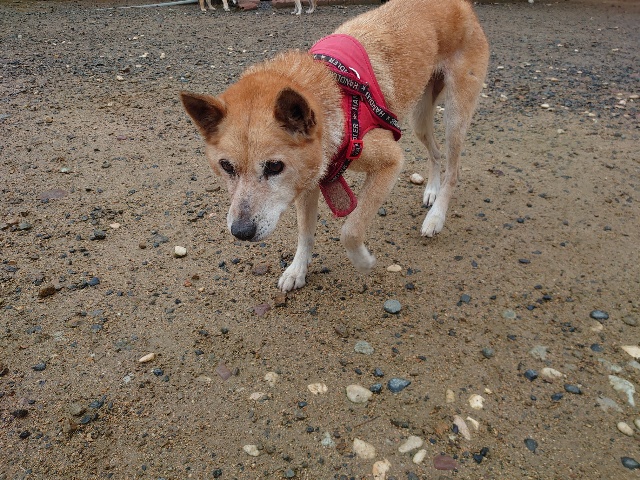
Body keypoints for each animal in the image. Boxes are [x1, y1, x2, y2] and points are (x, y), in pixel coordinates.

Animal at [181, 0, 489, 292]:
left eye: (274, 166)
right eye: (226, 166)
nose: (241, 232)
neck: (336, 98)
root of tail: (462, 6)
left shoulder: (390, 161)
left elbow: (350, 230)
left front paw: (363, 261)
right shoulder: (308, 180)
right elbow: (305, 233)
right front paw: (297, 270)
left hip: (454, 116)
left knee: (453, 170)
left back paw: (435, 217)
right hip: (420, 118)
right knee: (435, 154)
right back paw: (431, 192)